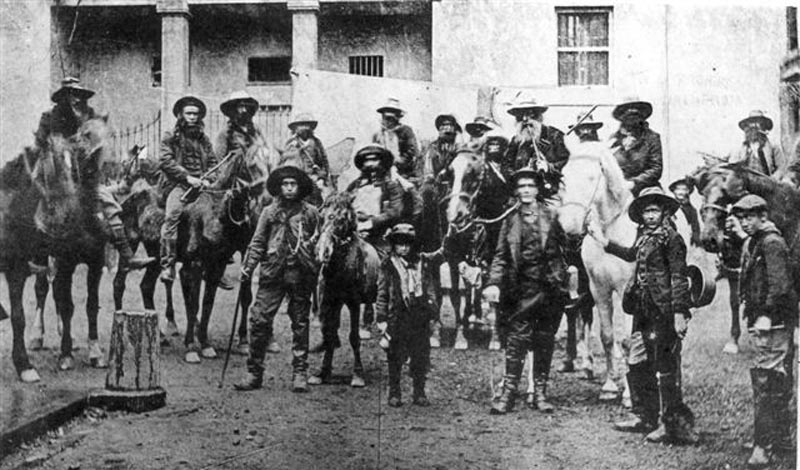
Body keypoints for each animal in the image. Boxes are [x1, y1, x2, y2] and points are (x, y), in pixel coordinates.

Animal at [556, 141, 636, 406]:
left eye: (592, 177)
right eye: (564, 178)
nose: (570, 225)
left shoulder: (624, 292)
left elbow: (626, 340)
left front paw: (629, 395)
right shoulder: (598, 289)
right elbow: (607, 336)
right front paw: (610, 387)